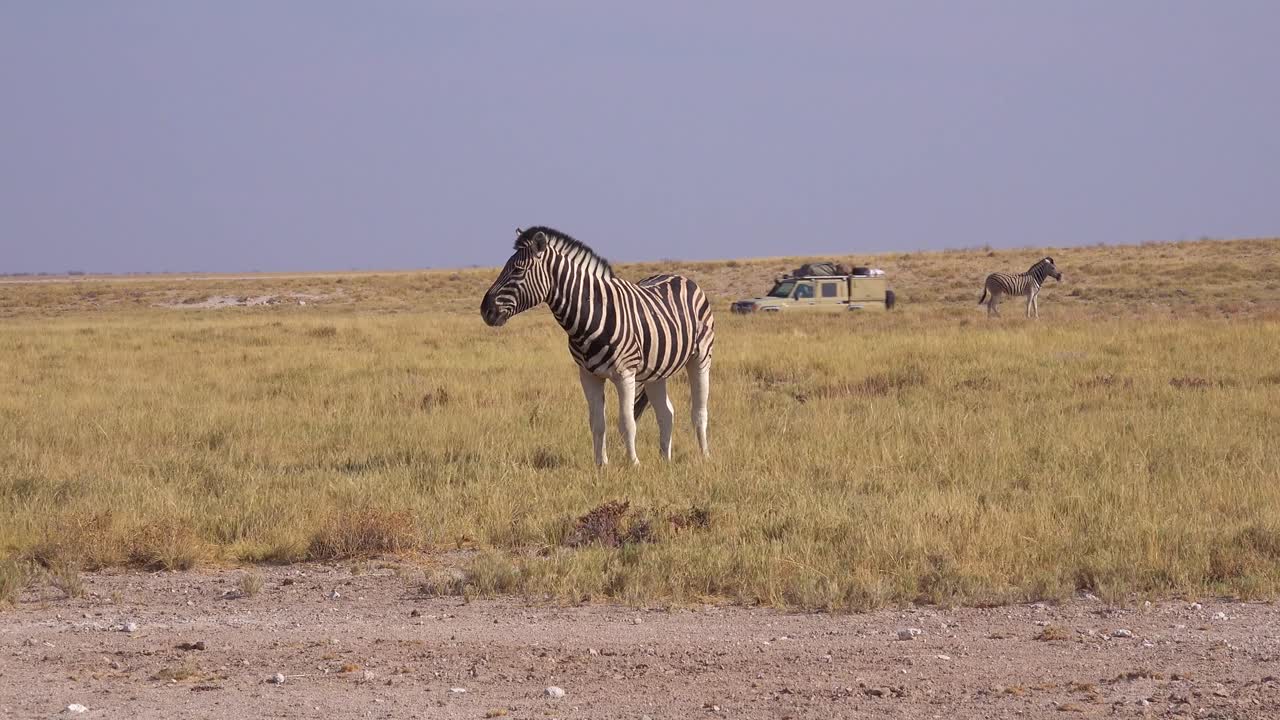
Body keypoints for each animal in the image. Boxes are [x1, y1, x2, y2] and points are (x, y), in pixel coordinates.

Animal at [480, 226, 715, 466]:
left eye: (518, 270)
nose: (485, 310)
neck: (590, 317)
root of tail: (681, 277)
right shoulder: (588, 376)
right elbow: (597, 423)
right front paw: (601, 465)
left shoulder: (625, 374)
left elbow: (626, 422)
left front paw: (634, 464)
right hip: (655, 372)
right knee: (666, 413)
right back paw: (665, 461)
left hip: (701, 357)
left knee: (699, 411)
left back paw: (705, 456)